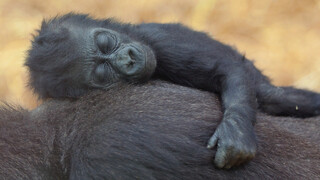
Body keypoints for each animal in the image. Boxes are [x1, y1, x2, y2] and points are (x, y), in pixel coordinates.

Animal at [25, 13, 320, 169]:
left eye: (106, 42)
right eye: (101, 72)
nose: (128, 59)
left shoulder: (158, 40)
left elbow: (228, 69)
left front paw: (235, 132)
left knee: (276, 97)